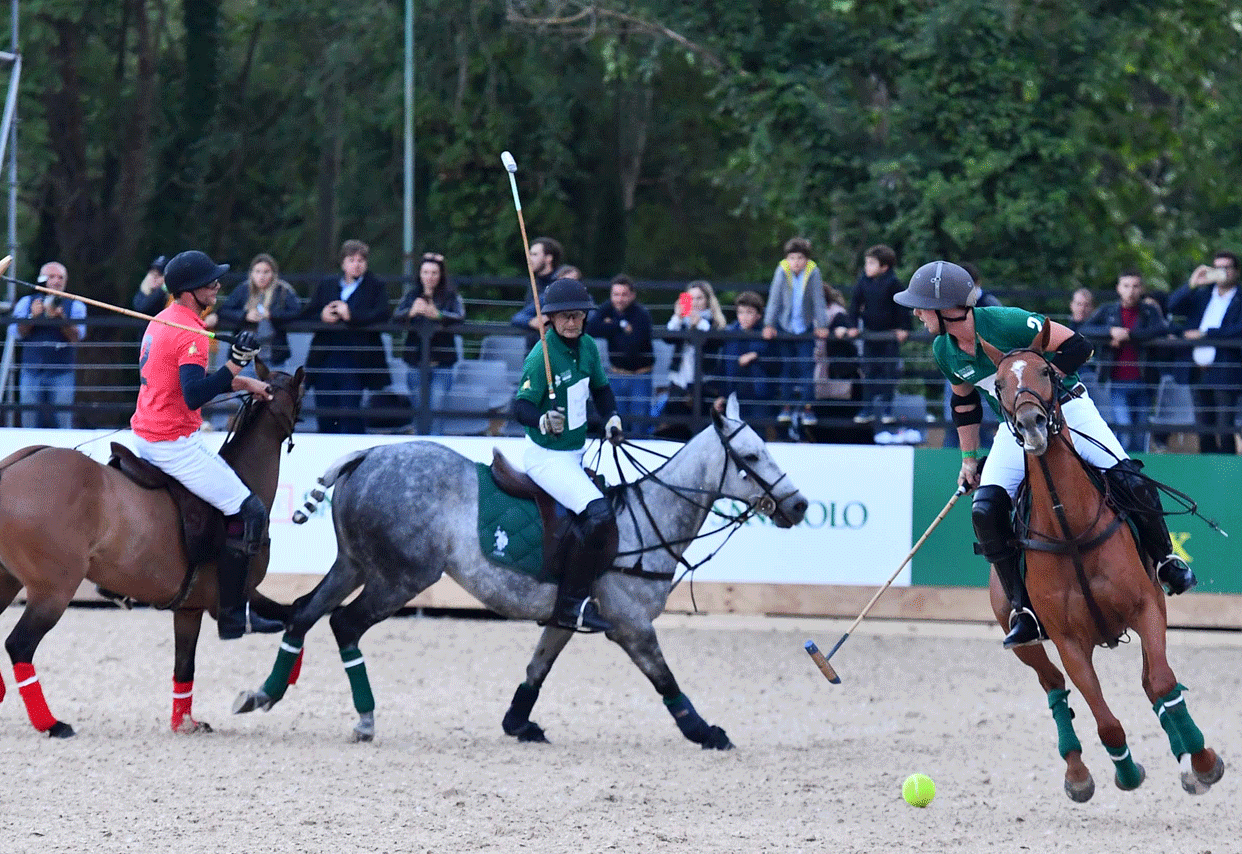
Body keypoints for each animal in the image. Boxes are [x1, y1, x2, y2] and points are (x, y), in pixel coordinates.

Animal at [0, 362, 303, 734]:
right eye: (300, 397)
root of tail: (9, 471)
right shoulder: (238, 595)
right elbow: (295, 615)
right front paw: (266, 692)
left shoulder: (189, 608)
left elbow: (184, 665)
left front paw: (184, 723)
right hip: (54, 589)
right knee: (20, 645)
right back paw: (52, 725)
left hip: (7, 580)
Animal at [235, 394, 809, 744]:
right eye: (751, 457)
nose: (800, 506)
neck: (649, 519)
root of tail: (366, 454)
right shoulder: (630, 624)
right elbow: (665, 679)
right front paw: (705, 731)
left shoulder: (567, 612)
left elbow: (538, 666)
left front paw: (517, 722)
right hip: (401, 576)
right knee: (344, 624)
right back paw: (365, 718)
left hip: (354, 563)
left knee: (303, 612)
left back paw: (262, 693)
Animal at [978, 322, 1222, 804]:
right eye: (997, 385)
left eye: (1047, 372)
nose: (1031, 425)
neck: (1070, 530)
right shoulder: (1069, 641)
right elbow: (1106, 721)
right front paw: (1126, 772)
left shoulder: (1146, 608)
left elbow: (1163, 684)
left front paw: (1203, 764)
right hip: (1021, 634)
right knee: (1052, 685)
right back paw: (1076, 772)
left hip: (1156, 598)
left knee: (1154, 682)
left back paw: (1186, 758)